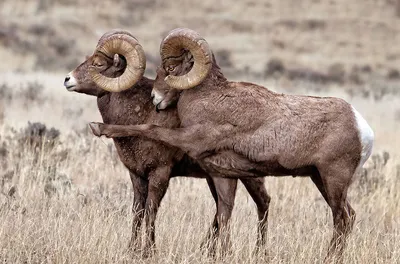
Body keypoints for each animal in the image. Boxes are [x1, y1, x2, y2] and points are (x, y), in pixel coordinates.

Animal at [64, 29, 270, 256]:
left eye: (99, 64)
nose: (67, 80)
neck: (139, 111)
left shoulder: (160, 173)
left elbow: (151, 211)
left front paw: (149, 251)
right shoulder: (137, 175)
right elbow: (138, 211)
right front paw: (132, 250)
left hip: (249, 176)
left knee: (262, 203)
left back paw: (259, 252)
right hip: (214, 177)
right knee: (221, 208)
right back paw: (206, 251)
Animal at [89, 28, 374, 260]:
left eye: (169, 70)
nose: (155, 99)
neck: (209, 98)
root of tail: (362, 128)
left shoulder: (189, 138)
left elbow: (151, 128)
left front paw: (98, 128)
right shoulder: (223, 175)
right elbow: (224, 214)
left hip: (333, 179)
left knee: (342, 219)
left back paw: (330, 257)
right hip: (321, 179)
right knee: (348, 216)